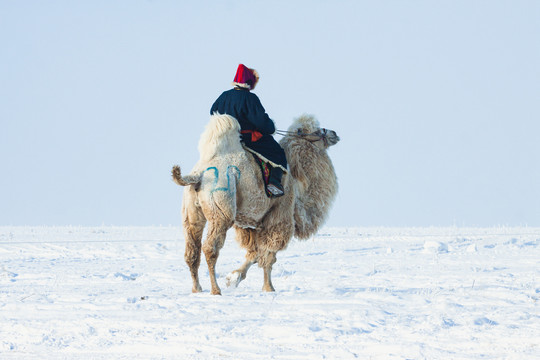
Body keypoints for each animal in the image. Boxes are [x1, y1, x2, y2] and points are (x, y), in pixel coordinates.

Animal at [173, 114, 340, 294]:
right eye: (316, 130)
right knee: (210, 248)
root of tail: (198, 175)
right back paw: (215, 290)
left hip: (192, 212)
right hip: (221, 210)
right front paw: (269, 288)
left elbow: (255, 253)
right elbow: (269, 253)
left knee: (192, 249)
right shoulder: (280, 214)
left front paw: (234, 278)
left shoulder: (252, 222)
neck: (297, 180)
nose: (334, 133)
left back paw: (197, 288)